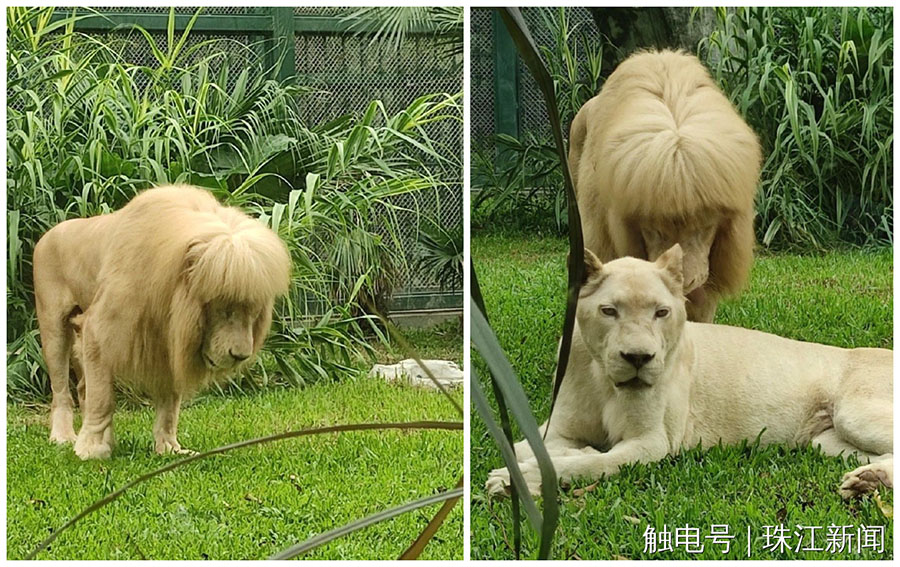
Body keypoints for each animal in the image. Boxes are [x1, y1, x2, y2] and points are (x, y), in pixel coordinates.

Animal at [488, 246, 896, 500]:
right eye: (609, 311)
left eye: (661, 312)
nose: (639, 358)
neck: (601, 376)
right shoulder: (560, 429)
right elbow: (531, 444)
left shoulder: (652, 442)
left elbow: (592, 462)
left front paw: (515, 478)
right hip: (825, 441)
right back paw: (869, 482)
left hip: (854, 413)